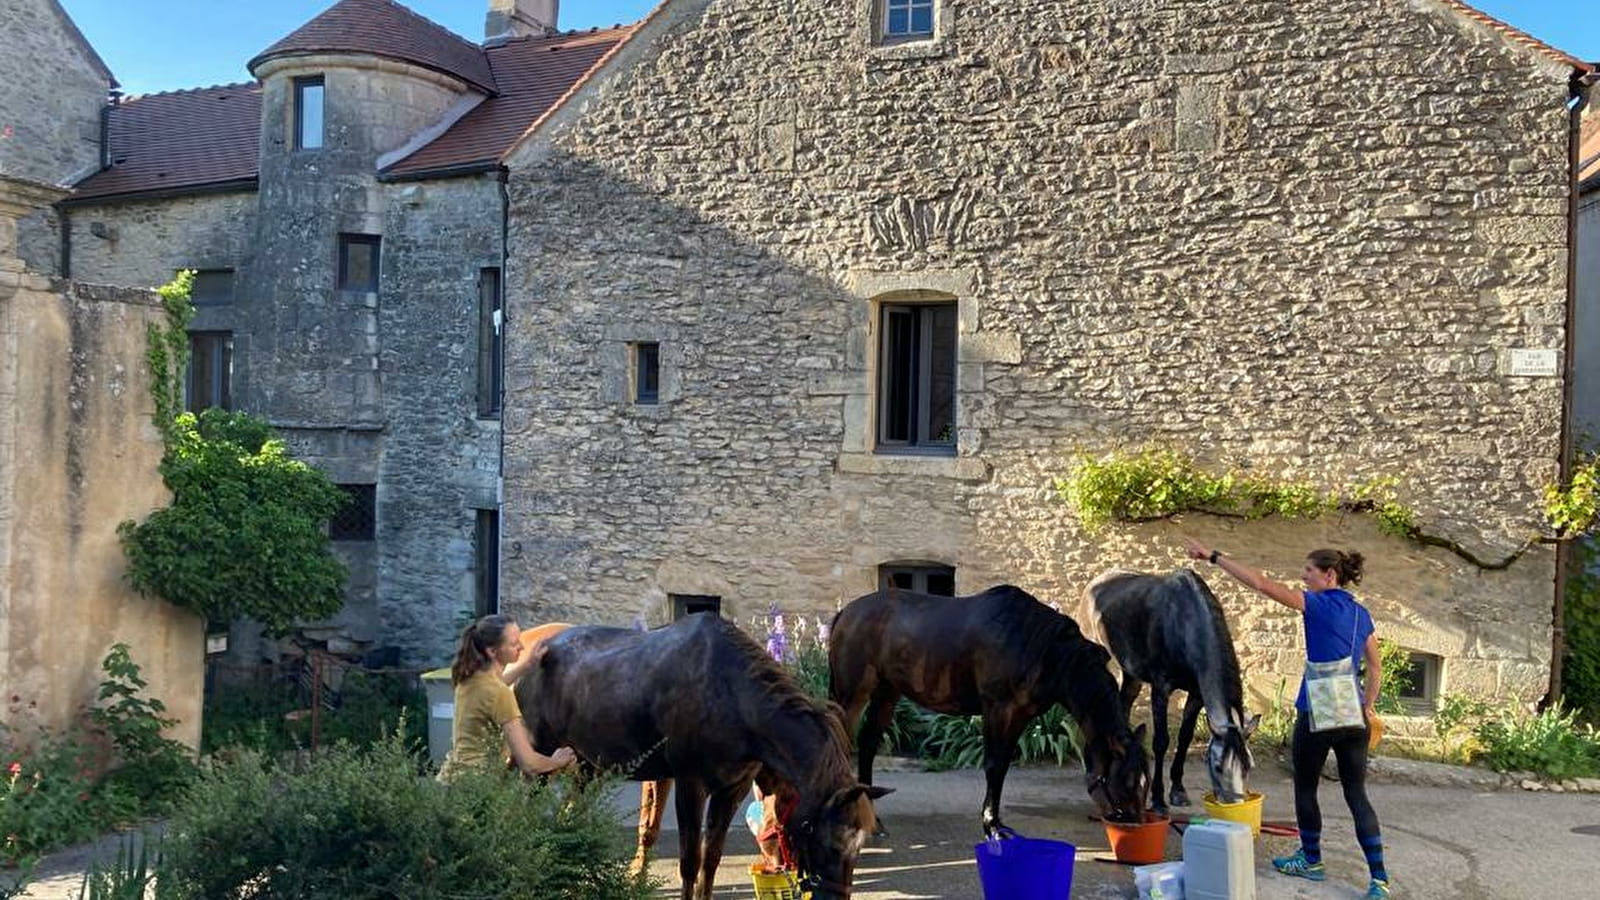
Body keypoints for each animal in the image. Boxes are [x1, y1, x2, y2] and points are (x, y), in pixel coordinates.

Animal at [518, 608, 889, 896]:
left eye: (860, 844)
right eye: (828, 838)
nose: (834, 897)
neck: (734, 699)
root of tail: (535, 649)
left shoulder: (731, 789)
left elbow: (711, 859)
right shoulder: (690, 784)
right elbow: (689, 861)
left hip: (585, 764)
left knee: (567, 815)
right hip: (540, 757)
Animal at [825, 582, 1152, 832]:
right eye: (1129, 779)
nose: (1137, 823)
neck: (1043, 648)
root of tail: (845, 613)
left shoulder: (1020, 715)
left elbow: (1003, 766)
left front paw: (996, 819)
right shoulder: (997, 710)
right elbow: (993, 765)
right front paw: (991, 825)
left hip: (887, 692)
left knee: (868, 743)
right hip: (852, 694)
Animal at [1081, 566, 1254, 813]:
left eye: (1248, 766)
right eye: (1218, 766)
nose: (1234, 806)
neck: (1183, 623)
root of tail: (1095, 583)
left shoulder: (1196, 695)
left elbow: (1184, 738)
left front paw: (1178, 791)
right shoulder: (1161, 689)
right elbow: (1161, 742)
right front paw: (1158, 799)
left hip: (1131, 673)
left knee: (1124, 703)